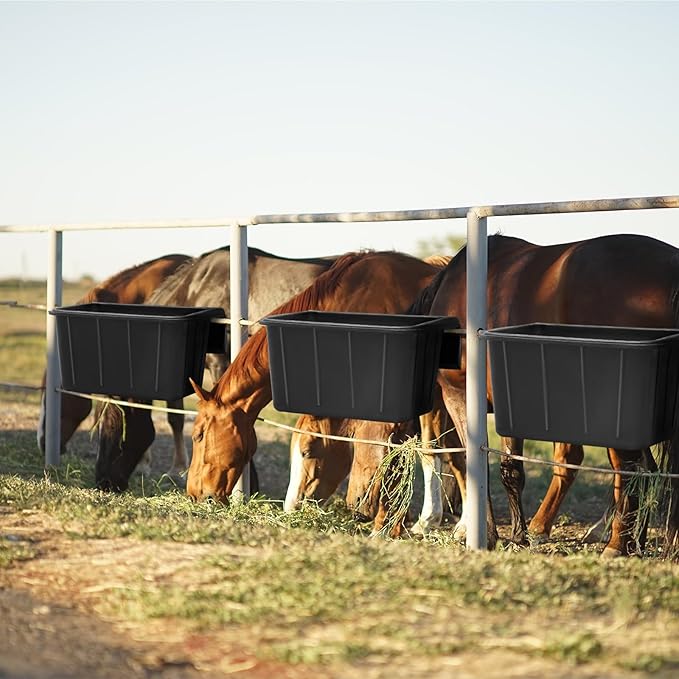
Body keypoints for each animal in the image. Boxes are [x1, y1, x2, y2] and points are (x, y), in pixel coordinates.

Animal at [411, 233, 679, 557]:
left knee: (632, 470)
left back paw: (617, 545)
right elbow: (511, 468)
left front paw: (491, 535)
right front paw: (517, 534)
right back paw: (636, 541)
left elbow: (483, 465)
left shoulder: (460, 397)